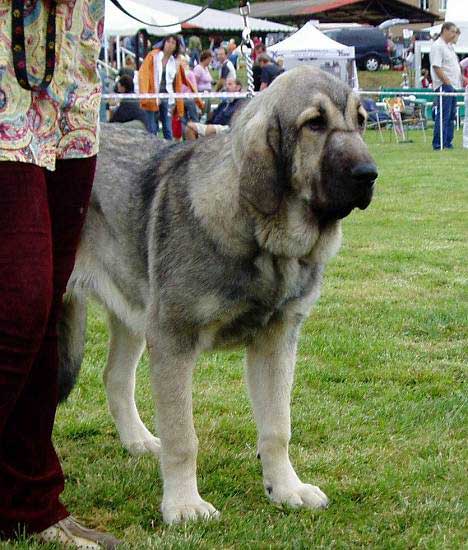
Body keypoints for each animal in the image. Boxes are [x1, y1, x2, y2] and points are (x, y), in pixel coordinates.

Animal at [60, 67, 378, 524]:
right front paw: (183, 504)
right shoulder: (172, 341)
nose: (369, 174)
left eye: (362, 121)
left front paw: (285, 489)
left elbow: (277, 427)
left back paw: (138, 441)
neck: (262, 236)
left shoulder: (276, 342)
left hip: (133, 312)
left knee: (115, 378)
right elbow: (182, 438)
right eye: (314, 124)